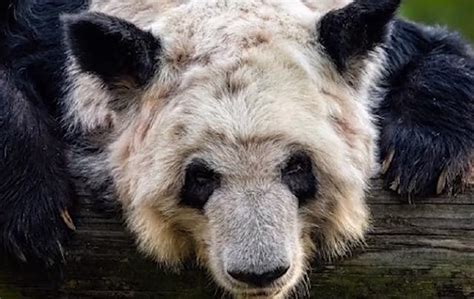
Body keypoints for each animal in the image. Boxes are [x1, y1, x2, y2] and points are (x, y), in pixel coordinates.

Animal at [0, 0, 472, 298]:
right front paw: (35, 215)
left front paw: (425, 157)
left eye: (297, 168)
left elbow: (443, 52)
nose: (260, 273)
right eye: (200, 177)